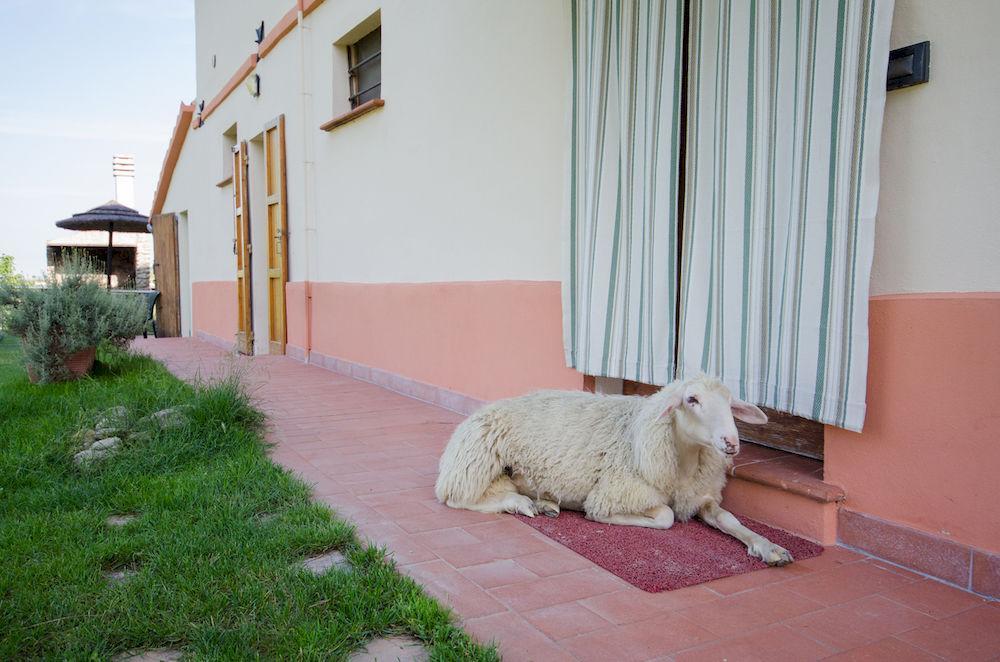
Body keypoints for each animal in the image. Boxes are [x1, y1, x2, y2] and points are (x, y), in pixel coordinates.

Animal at [434, 376, 792, 568]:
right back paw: (520, 504)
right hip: (476, 460)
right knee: (456, 496)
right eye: (692, 399)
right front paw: (601, 517)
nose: (731, 442)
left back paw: (544, 504)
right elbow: (664, 517)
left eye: (730, 403)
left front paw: (768, 547)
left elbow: (729, 519)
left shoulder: (699, 496)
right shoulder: (617, 491)